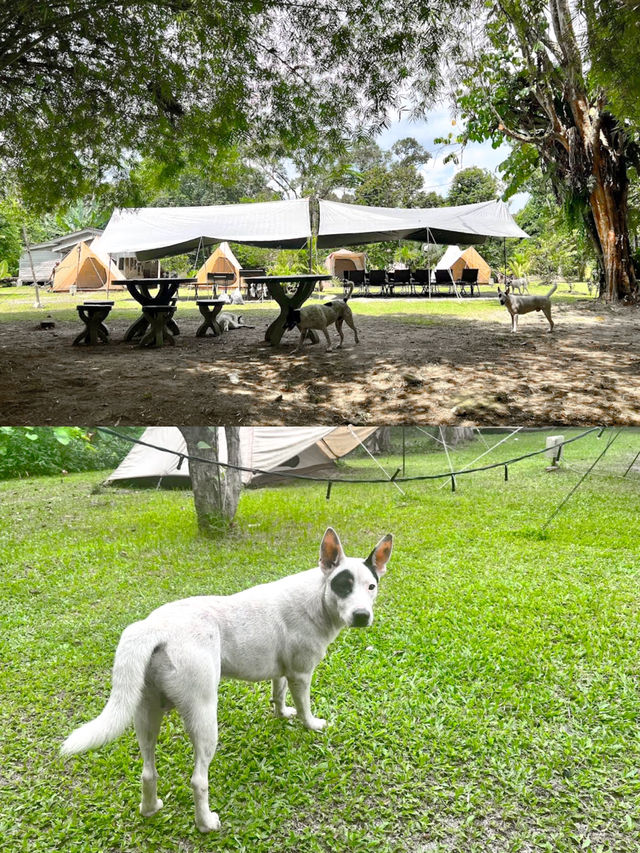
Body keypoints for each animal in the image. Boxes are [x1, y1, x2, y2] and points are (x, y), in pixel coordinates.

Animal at [60, 524, 392, 832]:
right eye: (344, 586)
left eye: (371, 586)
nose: (362, 616)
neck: (319, 596)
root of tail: (153, 627)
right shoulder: (301, 674)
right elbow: (305, 707)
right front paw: (310, 724)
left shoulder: (283, 671)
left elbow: (278, 694)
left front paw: (282, 713)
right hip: (204, 716)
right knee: (197, 779)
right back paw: (206, 823)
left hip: (145, 713)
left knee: (147, 771)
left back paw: (150, 808)